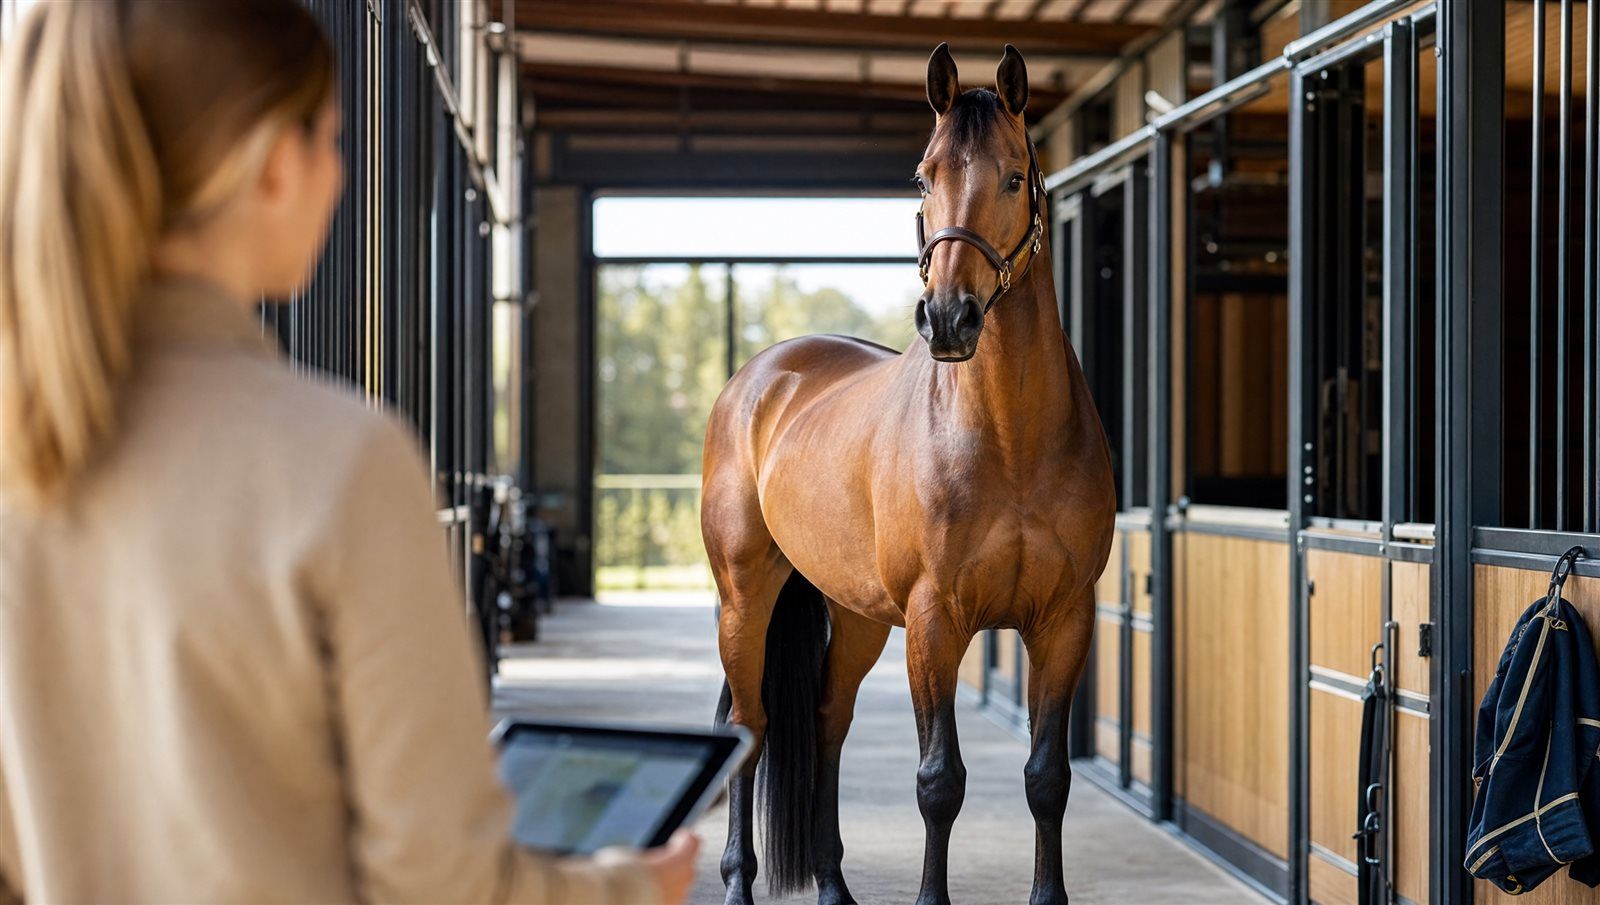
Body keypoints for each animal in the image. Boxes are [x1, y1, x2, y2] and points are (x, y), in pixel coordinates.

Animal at [701, 43, 1116, 905]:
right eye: (924, 176)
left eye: (1014, 178)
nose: (949, 318)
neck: (1011, 441)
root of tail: (759, 378)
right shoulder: (934, 621)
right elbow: (939, 780)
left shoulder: (1065, 620)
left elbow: (1047, 776)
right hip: (745, 596)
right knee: (748, 728)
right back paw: (737, 883)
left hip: (853, 611)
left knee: (827, 720)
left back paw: (832, 883)